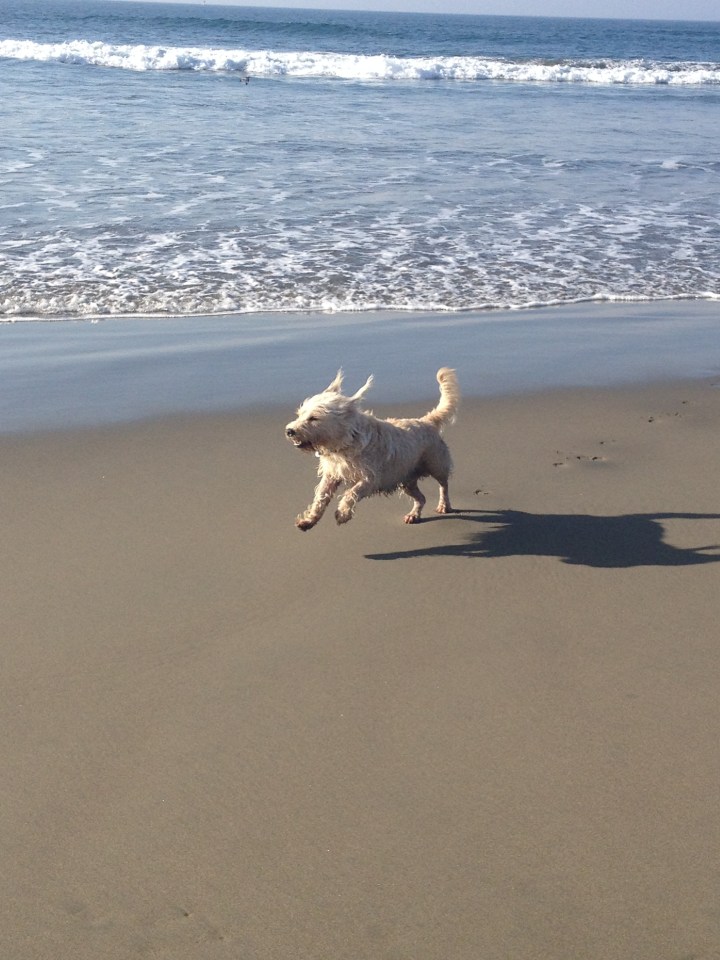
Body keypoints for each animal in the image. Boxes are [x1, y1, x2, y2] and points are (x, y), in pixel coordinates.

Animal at [285, 367, 459, 530]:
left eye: (314, 418)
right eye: (300, 414)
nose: (289, 431)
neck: (348, 440)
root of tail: (427, 421)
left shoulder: (370, 478)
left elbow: (352, 493)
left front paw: (343, 514)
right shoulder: (331, 475)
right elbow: (320, 497)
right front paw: (309, 520)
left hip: (436, 464)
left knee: (444, 484)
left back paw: (444, 505)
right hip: (406, 479)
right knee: (421, 498)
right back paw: (413, 515)